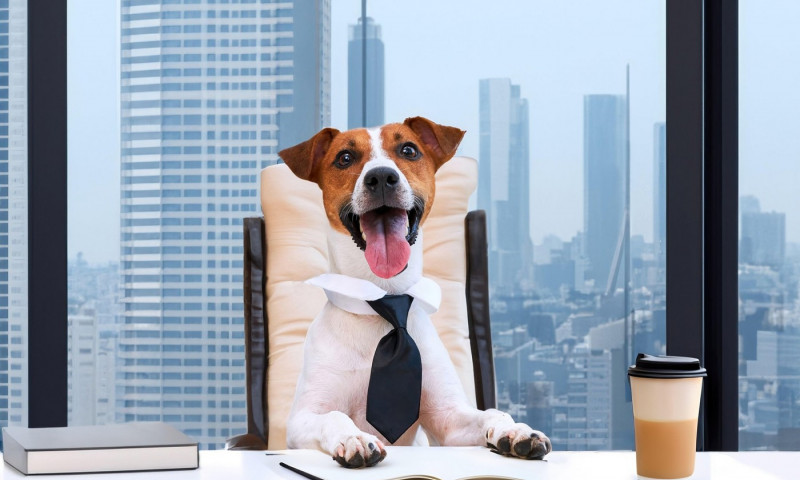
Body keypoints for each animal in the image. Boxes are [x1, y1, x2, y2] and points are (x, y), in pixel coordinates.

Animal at [276, 118, 552, 466]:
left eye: (409, 150)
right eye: (345, 158)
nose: (381, 177)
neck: (385, 297)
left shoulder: (450, 419)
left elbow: (491, 413)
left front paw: (514, 431)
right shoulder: (301, 418)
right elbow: (334, 416)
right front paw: (355, 437)